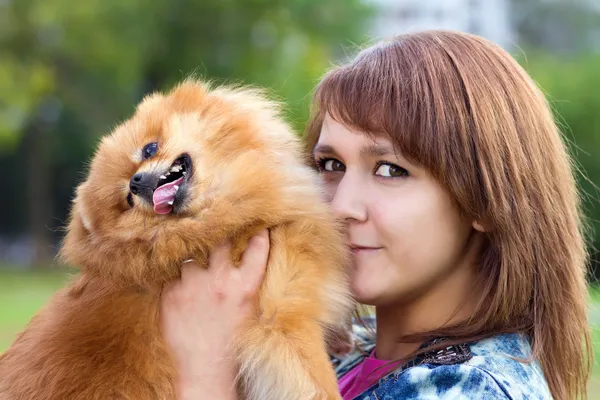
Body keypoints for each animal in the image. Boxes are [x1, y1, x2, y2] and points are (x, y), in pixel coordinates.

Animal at [0, 79, 354, 398]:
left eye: (149, 148)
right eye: (127, 201)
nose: (136, 182)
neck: (219, 214)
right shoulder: (280, 317)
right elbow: (319, 382)